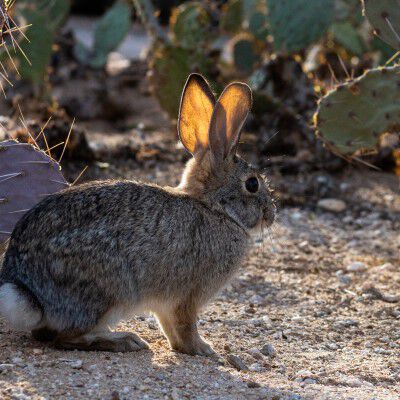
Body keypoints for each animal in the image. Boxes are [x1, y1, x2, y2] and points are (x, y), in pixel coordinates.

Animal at [0, 75, 276, 356]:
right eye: (252, 184)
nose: (272, 214)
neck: (214, 207)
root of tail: (28, 291)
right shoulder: (188, 296)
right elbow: (186, 325)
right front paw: (202, 349)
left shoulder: (166, 304)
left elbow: (169, 326)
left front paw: (182, 347)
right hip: (110, 290)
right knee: (66, 337)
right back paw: (124, 340)